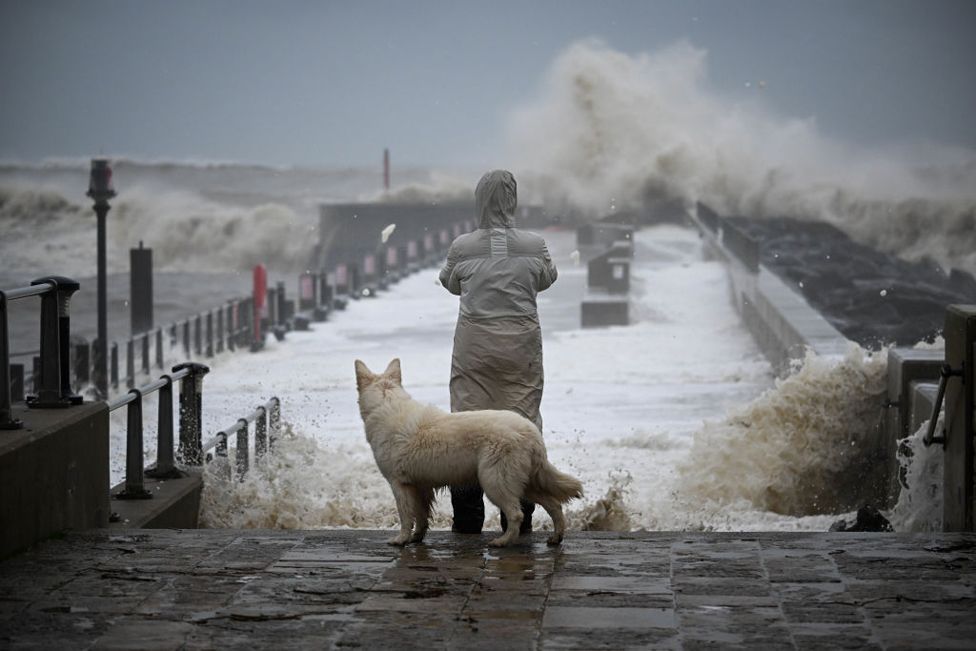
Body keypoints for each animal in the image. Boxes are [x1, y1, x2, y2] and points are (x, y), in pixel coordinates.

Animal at [356, 360, 580, 548]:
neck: (386, 402)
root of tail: (531, 432)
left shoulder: (399, 484)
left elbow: (405, 516)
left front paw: (401, 539)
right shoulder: (421, 486)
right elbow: (421, 516)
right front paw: (416, 538)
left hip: (494, 482)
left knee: (517, 514)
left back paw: (503, 541)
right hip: (524, 484)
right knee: (554, 505)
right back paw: (556, 537)